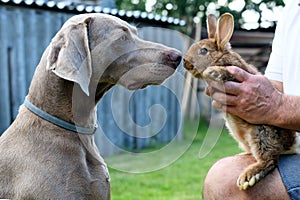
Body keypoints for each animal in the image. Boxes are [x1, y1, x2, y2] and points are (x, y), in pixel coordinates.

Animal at [183, 13, 298, 190]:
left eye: (203, 51)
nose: (185, 62)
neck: (221, 57)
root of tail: (290, 144)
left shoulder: (236, 74)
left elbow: (225, 73)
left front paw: (212, 71)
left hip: (261, 132)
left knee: (270, 160)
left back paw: (249, 176)